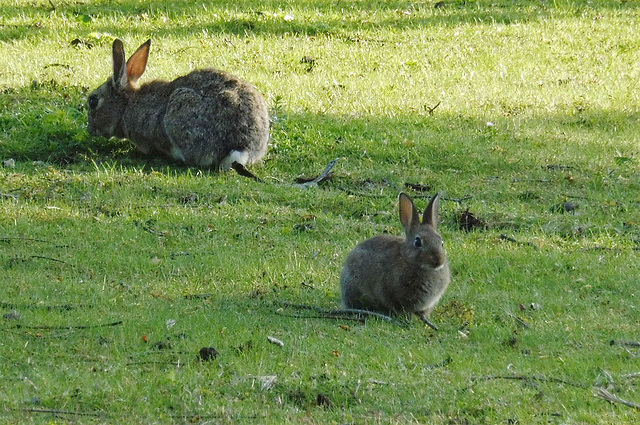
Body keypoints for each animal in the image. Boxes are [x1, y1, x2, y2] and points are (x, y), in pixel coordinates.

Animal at [340, 192, 450, 328]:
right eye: (418, 242)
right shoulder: (393, 294)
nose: (438, 260)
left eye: (441, 242)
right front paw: (407, 320)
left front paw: (428, 322)